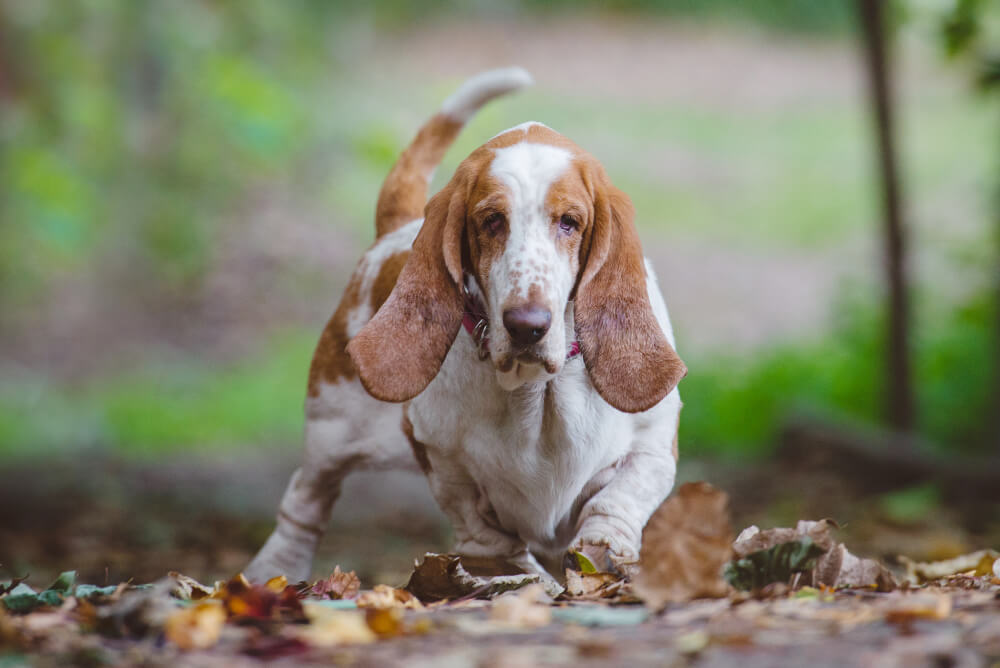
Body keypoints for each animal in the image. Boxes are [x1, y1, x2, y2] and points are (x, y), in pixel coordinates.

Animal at [248, 65, 688, 580]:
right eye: (492, 220)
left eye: (569, 222)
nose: (527, 326)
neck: (535, 391)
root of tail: (396, 228)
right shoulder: (446, 464)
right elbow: (488, 536)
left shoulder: (653, 444)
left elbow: (618, 500)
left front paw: (603, 551)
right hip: (329, 430)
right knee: (305, 500)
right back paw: (274, 570)